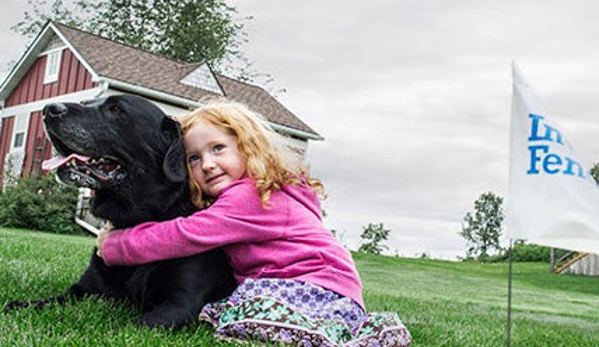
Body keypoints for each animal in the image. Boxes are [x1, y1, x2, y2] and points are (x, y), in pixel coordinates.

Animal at [3, 94, 237, 328]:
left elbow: (128, 326)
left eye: (116, 110)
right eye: (87, 102)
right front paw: (15, 306)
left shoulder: (181, 304)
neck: (136, 221)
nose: (49, 109)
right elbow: (43, 301)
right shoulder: (83, 289)